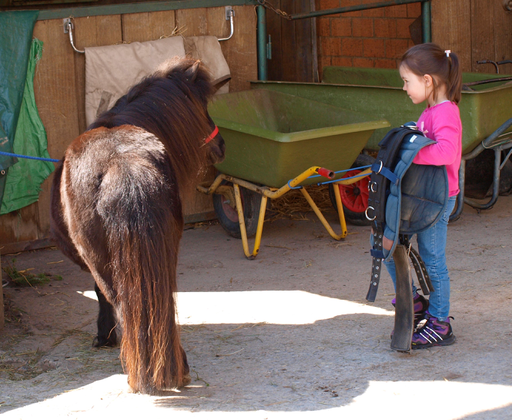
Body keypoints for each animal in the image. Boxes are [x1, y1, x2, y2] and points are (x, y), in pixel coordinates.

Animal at [50, 57, 226, 396]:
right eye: (204, 107)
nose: (222, 145)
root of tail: (122, 163)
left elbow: (101, 297)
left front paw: (104, 337)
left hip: (102, 261)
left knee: (120, 301)